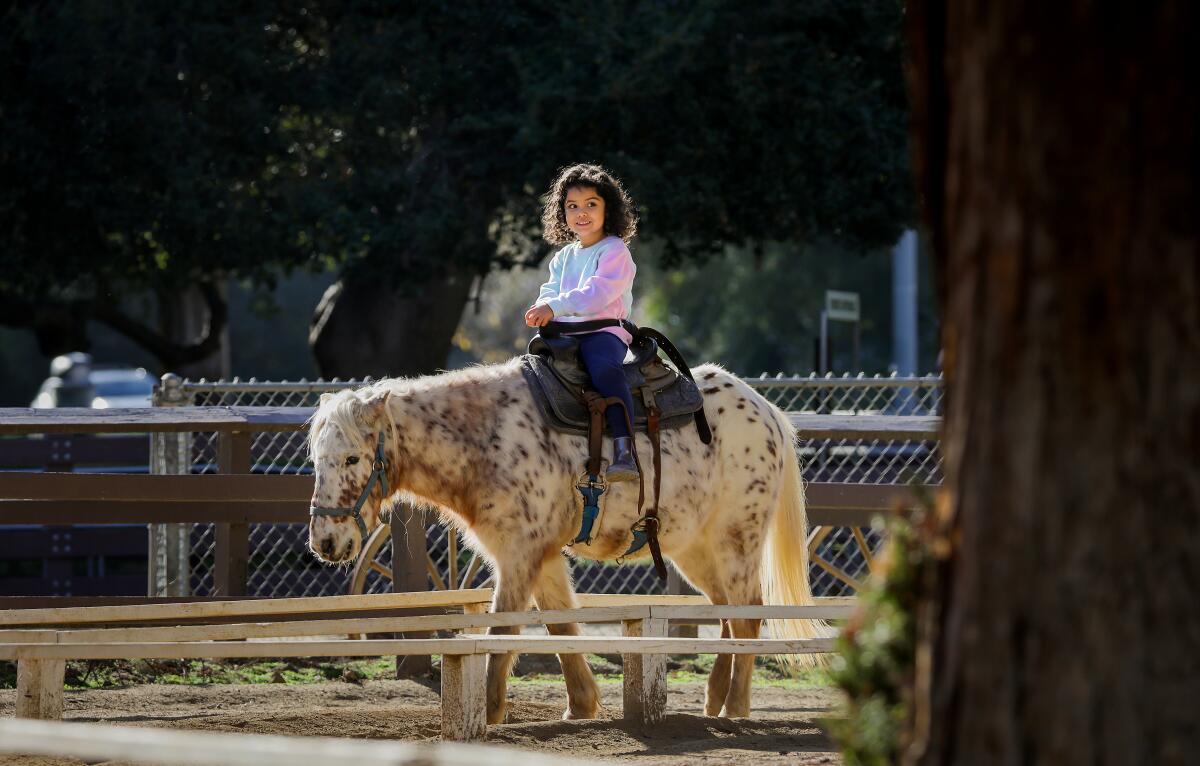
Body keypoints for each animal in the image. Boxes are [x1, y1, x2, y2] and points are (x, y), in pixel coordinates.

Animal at [306, 357, 826, 724]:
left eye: (352, 458)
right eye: (317, 458)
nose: (325, 542)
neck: (486, 438)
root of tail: (766, 411)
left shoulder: (518, 555)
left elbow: (503, 633)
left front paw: (490, 714)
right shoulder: (542, 556)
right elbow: (561, 627)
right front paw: (581, 705)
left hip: (735, 540)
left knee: (748, 615)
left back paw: (736, 707)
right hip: (696, 551)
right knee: (727, 614)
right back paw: (715, 702)